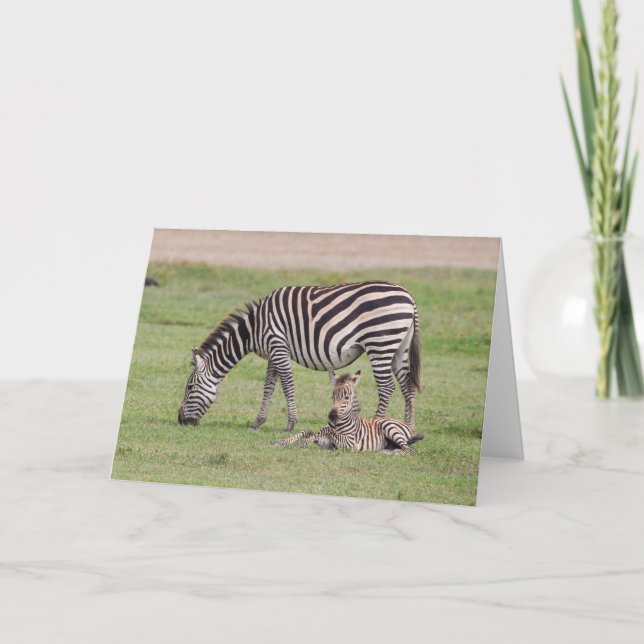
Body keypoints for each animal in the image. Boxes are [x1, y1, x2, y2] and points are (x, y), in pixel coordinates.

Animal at [178, 280, 421, 432]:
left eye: (189, 387)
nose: (180, 421)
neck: (254, 329)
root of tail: (409, 296)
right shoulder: (273, 353)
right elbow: (268, 387)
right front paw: (257, 422)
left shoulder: (278, 346)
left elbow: (287, 385)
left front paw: (291, 424)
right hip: (398, 347)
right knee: (407, 386)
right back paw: (409, 428)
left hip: (380, 343)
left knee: (387, 387)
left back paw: (377, 423)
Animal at [276, 370, 424, 454]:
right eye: (332, 396)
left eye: (346, 397)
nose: (332, 417)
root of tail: (405, 424)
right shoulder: (327, 443)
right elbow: (309, 431)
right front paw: (283, 442)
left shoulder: (349, 443)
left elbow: (325, 430)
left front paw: (302, 444)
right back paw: (383, 451)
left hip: (389, 427)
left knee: (409, 451)